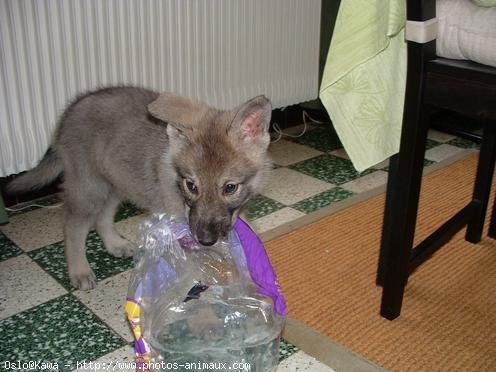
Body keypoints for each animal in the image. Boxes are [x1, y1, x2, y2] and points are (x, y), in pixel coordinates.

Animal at [7, 87, 272, 290]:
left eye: (230, 187)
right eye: (191, 186)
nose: (206, 240)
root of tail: (74, 106)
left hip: (115, 183)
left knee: (102, 218)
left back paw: (115, 244)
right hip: (89, 187)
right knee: (74, 227)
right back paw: (80, 270)